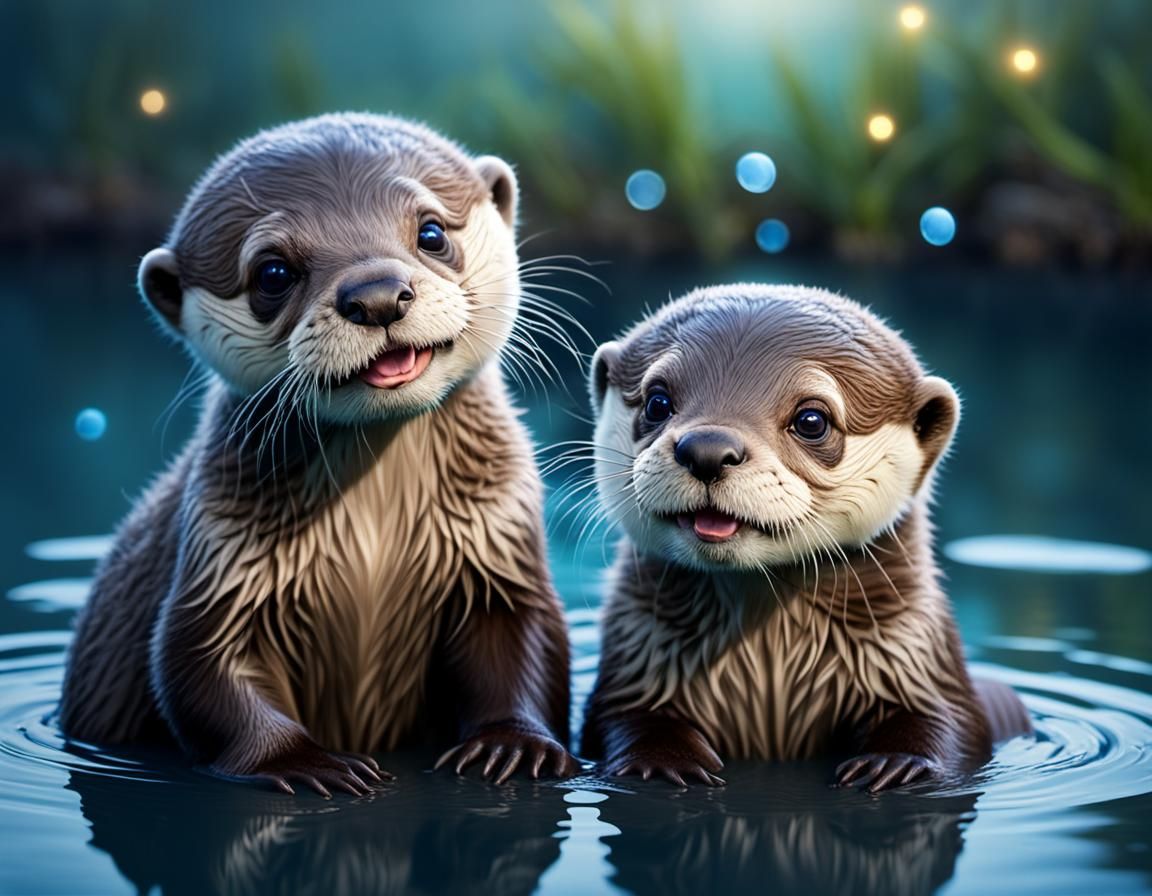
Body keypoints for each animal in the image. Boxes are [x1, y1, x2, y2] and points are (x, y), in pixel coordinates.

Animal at [59, 113, 578, 795]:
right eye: (272, 273)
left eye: (432, 232)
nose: (378, 294)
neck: (377, 536)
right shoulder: (221, 560)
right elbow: (201, 667)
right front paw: (307, 763)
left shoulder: (496, 546)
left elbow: (523, 641)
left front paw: (511, 745)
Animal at [580, 284, 1030, 792]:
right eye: (657, 402)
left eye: (811, 420)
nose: (707, 449)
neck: (769, 662)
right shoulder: (638, 655)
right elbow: (623, 716)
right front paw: (663, 761)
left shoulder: (914, 653)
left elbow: (946, 720)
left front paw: (898, 764)